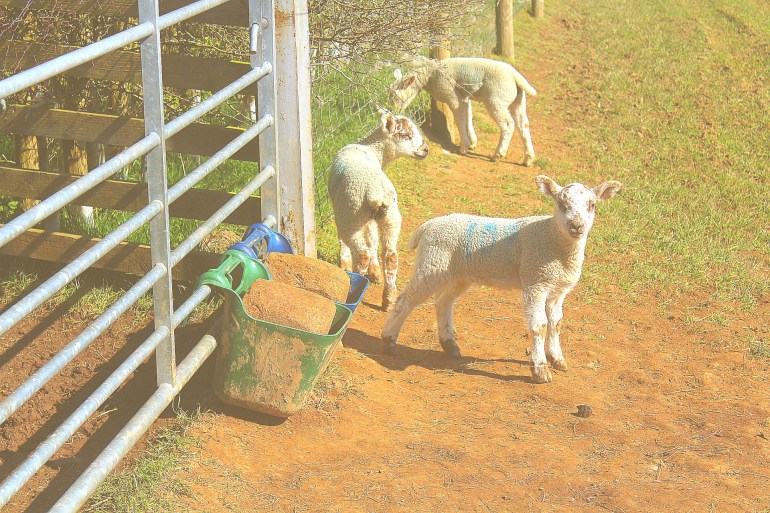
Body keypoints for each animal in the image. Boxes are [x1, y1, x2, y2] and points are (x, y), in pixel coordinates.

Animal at [327, 109, 429, 310]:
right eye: (406, 135)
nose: (426, 149)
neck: (371, 150)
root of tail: (376, 193)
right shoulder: (372, 219)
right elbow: (373, 240)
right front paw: (375, 273)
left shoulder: (342, 210)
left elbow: (350, 241)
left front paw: (344, 264)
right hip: (390, 217)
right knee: (390, 256)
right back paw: (388, 299)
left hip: (351, 214)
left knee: (361, 252)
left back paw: (356, 280)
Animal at [380, 175, 622, 383]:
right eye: (561, 204)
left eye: (592, 205)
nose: (577, 226)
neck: (552, 238)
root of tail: (428, 226)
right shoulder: (536, 282)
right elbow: (540, 325)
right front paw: (540, 369)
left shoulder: (557, 289)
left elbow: (557, 323)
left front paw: (557, 359)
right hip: (432, 263)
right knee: (406, 300)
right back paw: (388, 340)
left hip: (457, 273)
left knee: (443, 302)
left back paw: (450, 346)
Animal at [389, 57, 537, 165]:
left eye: (395, 96)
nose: (393, 110)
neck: (429, 76)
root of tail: (515, 76)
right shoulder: (463, 96)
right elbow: (468, 116)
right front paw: (472, 142)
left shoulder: (451, 95)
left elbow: (460, 119)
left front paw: (464, 146)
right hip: (518, 100)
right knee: (524, 125)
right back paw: (528, 159)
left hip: (497, 99)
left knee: (508, 124)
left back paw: (498, 154)